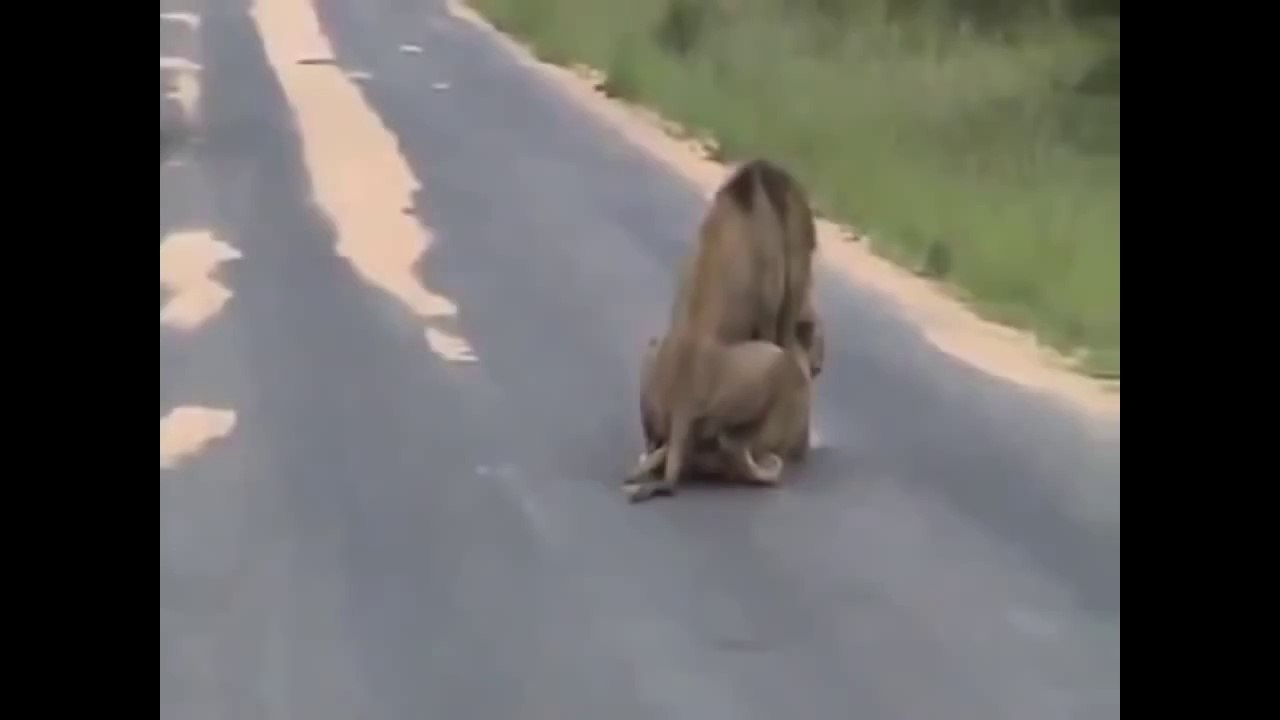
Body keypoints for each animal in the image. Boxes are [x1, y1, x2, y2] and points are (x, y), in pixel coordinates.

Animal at [624, 158, 820, 502]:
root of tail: (683, 403)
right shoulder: (781, 306)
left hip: (652, 347)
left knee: (658, 445)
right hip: (771, 359)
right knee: (731, 442)